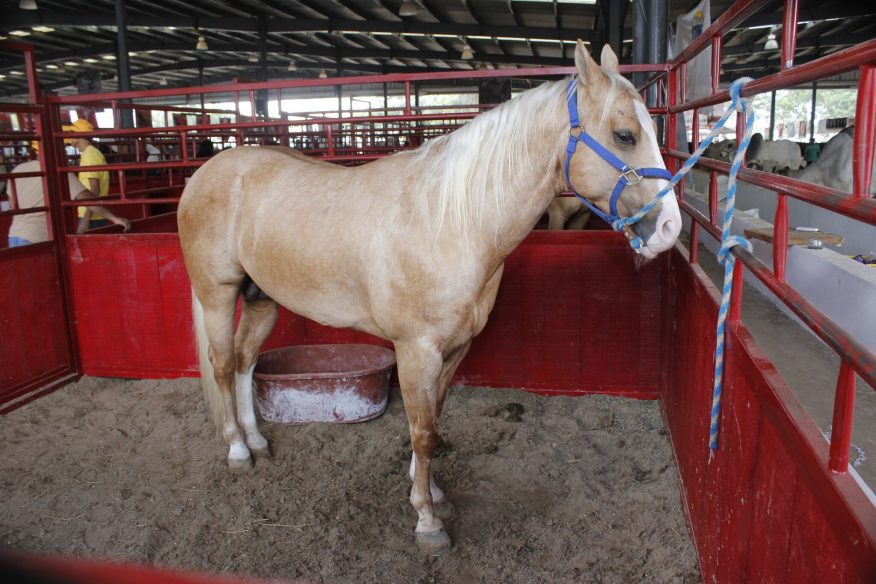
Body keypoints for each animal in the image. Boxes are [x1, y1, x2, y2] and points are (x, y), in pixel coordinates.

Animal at [180, 42, 684, 556]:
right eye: (624, 135)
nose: (669, 228)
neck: (449, 221)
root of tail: (205, 174)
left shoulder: (456, 346)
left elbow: (435, 420)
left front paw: (433, 493)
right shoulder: (415, 350)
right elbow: (422, 432)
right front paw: (427, 520)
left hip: (260, 298)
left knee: (246, 360)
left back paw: (258, 442)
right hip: (218, 293)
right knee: (224, 364)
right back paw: (238, 449)